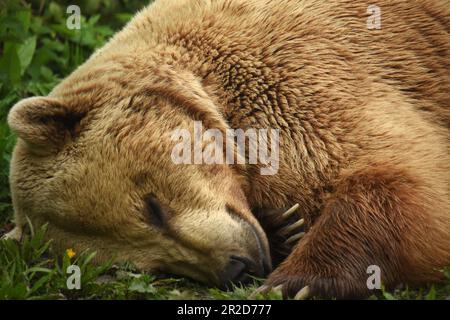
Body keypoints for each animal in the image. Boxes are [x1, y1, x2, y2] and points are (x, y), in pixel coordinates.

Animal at [3, 0, 450, 298]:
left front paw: (298, 283)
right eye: (155, 265)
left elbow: (412, 180)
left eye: (152, 207)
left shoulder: (314, 71)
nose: (238, 266)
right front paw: (283, 224)